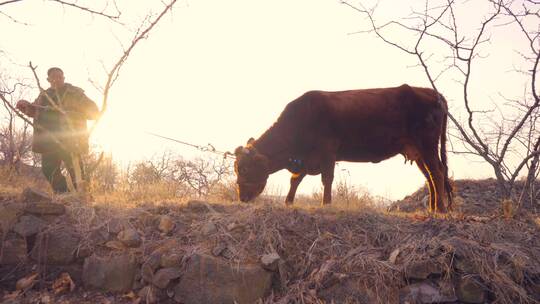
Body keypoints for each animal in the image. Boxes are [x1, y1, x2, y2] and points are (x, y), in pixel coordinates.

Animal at [234, 83, 454, 211]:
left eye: (244, 169)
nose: (242, 197)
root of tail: (431, 92)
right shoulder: (307, 157)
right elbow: (295, 180)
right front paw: (288, 202)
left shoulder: (327, 150)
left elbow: (327, 179)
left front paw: (326, 204)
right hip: (417, 151)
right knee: (429, 176)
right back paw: (433, 207)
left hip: (427, 144)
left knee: (437, 172)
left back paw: (440, 209)